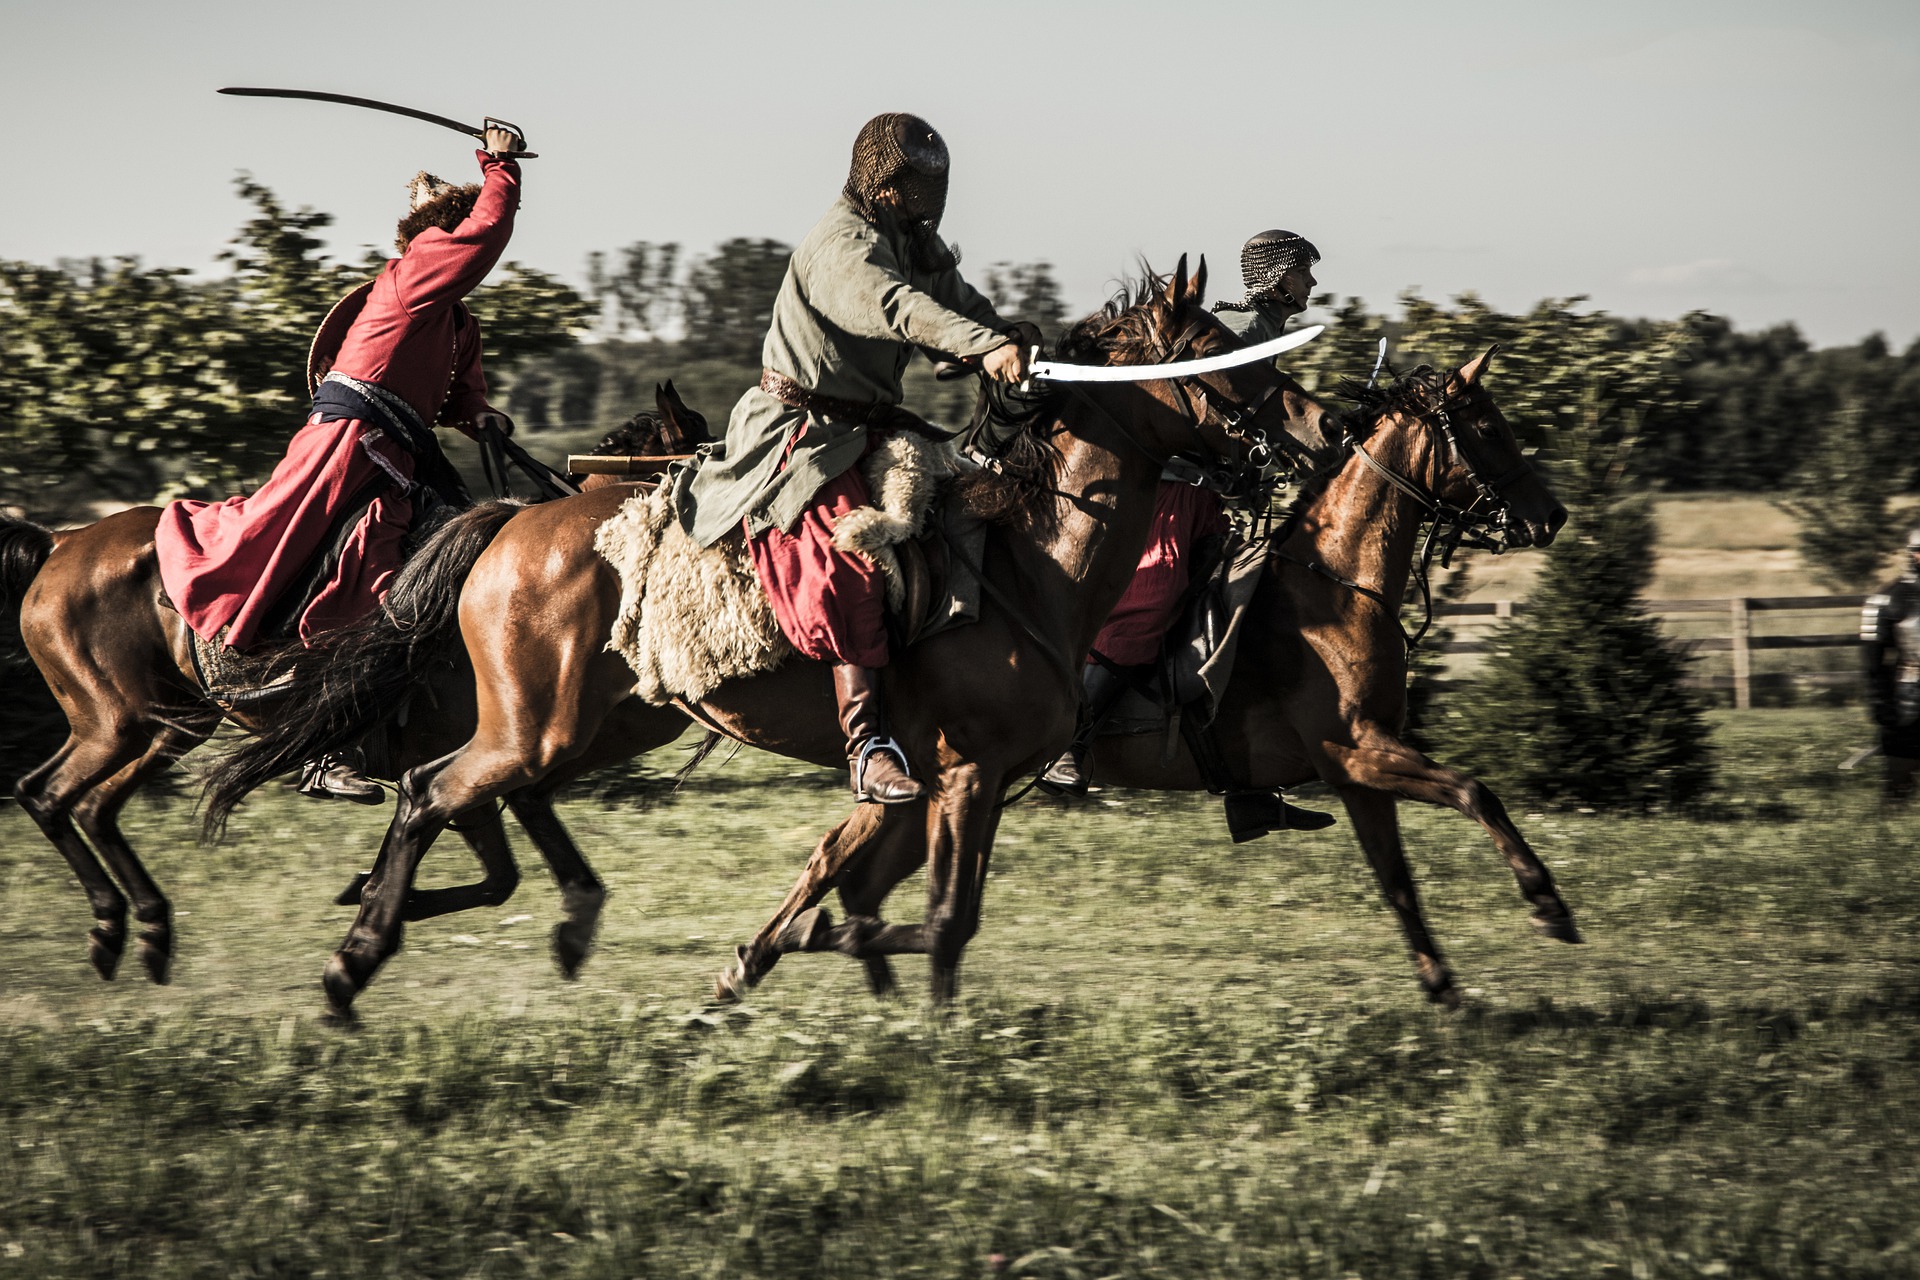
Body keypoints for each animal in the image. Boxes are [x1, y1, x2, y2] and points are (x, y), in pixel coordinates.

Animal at [3, 385, 710, 990]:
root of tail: (62, 541)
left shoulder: (490, 760)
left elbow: (498, 876)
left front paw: (373, 899)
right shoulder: (476, 757)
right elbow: (486, 860)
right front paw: (374, 907)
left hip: (171, 725)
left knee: (95, 806)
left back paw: (148, 928)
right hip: (111, 723)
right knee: (46, 795)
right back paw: (109, 927)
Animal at [202, 260, 1351, 1020]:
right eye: (1216, 353)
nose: (1322, 428)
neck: (1034, 560)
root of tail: (512, 523)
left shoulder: (938, 783)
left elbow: (865, 881)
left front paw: (786, 961)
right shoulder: (968, 775)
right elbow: (939, 915)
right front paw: (874, 987)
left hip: (602, 725)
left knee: (476, 792)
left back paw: (542, 922)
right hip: (538, 725)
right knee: (428, 790)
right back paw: (355, 962)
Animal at [721, 351, 1574, 1013]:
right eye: (1488, 428)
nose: (1553, 518)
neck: (1334, 585)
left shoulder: (1359, 772)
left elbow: (1399, 879)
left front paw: (1445, 986)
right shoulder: (1360, 752)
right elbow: (1475, 792)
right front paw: (1546, 905)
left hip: (935, 789)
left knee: (852, 876)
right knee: (844, 871)